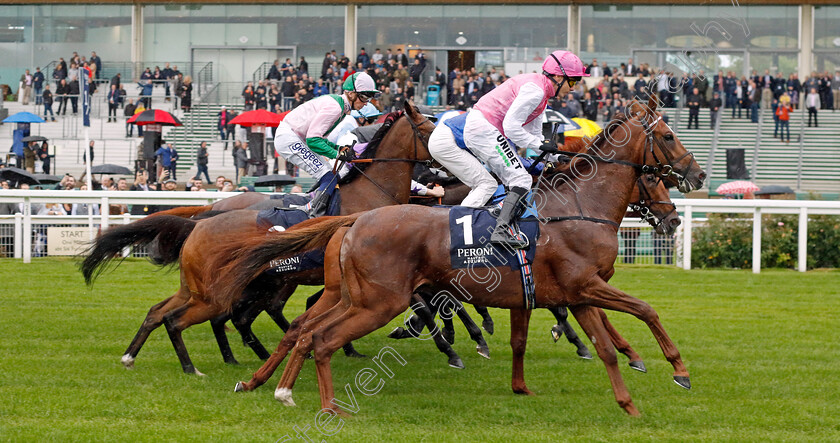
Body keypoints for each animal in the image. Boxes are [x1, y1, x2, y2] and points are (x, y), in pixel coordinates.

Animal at [81, 103, 436, 374]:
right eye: (430, 129)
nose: (437, 175)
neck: (370, 194)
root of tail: (204, 219)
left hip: (216, 285)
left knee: (164, 312)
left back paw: (134, 356)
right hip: (229, 289)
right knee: (203, 317)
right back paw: (204, 364)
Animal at [215, 93, 704, 416]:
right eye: (667, 136)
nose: (696, 177)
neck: (577, 207)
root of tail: (355, 221)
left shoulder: (572, 290)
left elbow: (592, 343)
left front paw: (623, 395)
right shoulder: (585, 284)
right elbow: (644, 309)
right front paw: (678, 369)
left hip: (351, 295)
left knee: (303, 329)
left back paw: (270, 384)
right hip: (373, 300)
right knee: (308, 333)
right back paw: (321, 401)